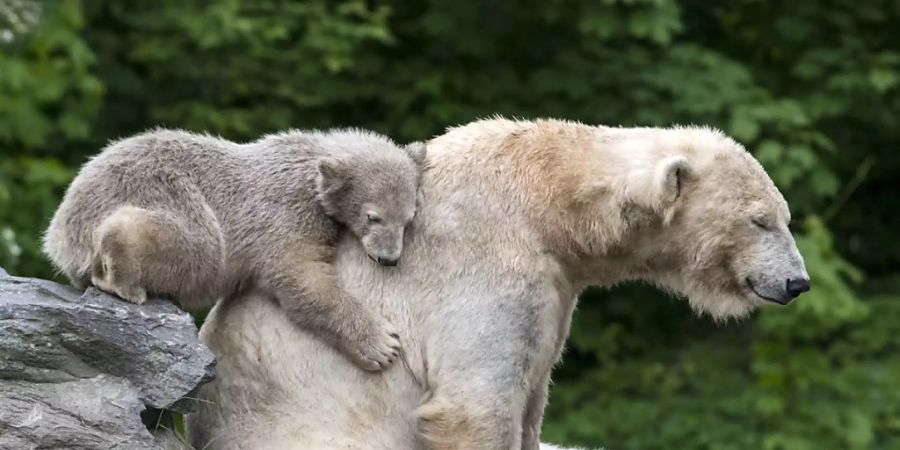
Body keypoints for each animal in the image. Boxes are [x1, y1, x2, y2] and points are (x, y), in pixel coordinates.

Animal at [186, 118, 812, 448]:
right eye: (760, 220)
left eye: (786, 215)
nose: (798, 281)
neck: (547, 202)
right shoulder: (485, 269)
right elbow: (476, 405)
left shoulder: (556, 288)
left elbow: (533, 394)